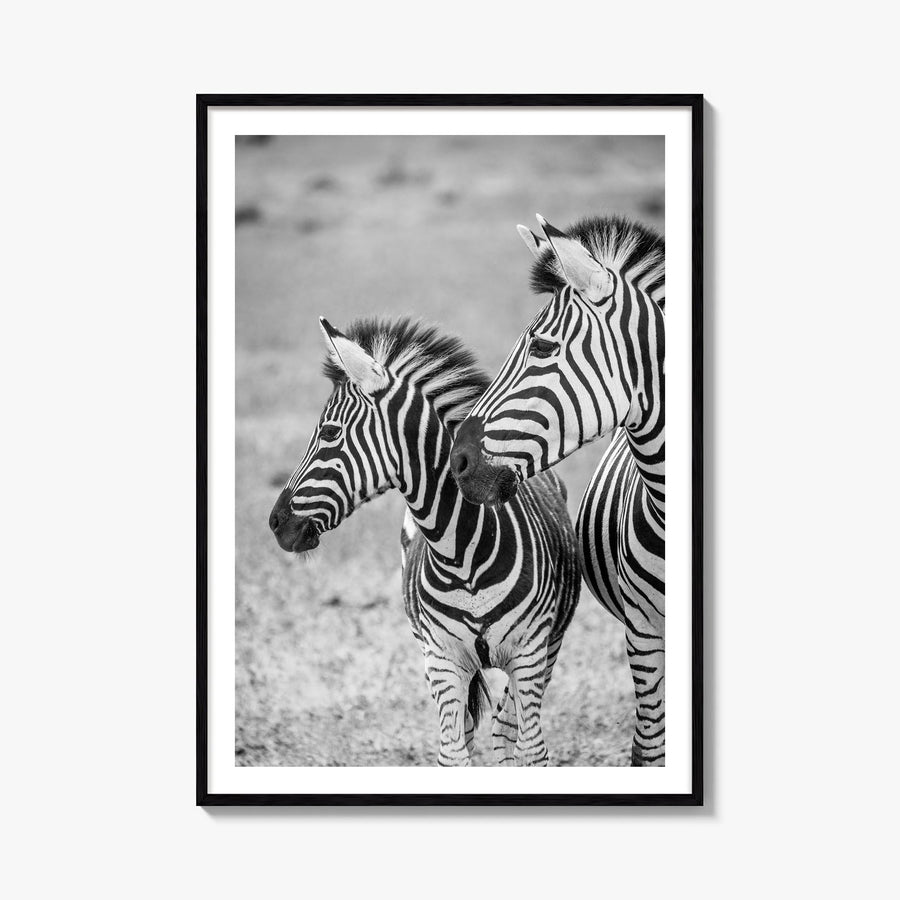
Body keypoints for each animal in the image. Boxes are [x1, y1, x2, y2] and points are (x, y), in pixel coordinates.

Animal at [268, 316, 580, 766]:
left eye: (329, 432)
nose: (275, 522)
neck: (463, 553)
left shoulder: (530, 655)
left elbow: (532, 750)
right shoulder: (443, 661)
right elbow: (453, 754)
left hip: (547, 650)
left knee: (506, 730)